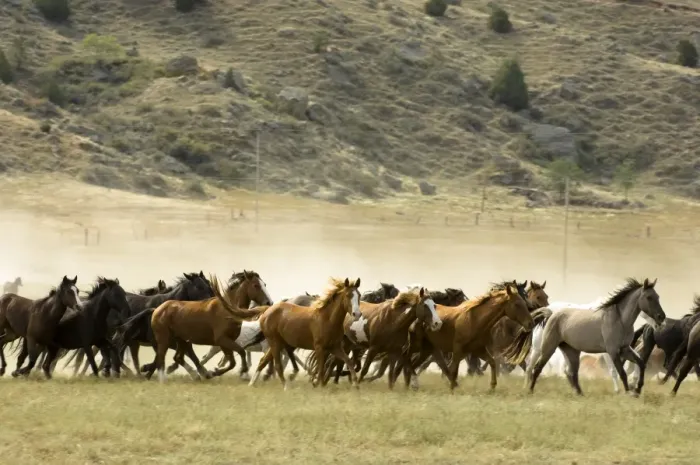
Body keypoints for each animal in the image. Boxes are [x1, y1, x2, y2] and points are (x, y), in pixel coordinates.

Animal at [405, 281, 534, 392]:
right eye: (517, 304)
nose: (530, 323)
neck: (474, 320)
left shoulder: (478, 350)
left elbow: (492, 363)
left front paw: (492, 386)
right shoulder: (458, 350)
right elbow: (453, 370)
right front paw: (452, 389)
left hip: (428, 349)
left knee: (415, 364)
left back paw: (411, 385)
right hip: (418, 347)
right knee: (410, 362)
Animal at [528, 278, 665, 397]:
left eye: (658, 297)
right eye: (649, 297)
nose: (661, 317)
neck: (620, 320)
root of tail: (552, 314)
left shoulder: (625, 349)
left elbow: (641, 363)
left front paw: (637, 389)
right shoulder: (613, 351)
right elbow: (622, 373)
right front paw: (628, 393)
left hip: (571, 351)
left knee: (572, 372)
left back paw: (580, 394)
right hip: (548, 347)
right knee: (537, 367)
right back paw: (530, 390)